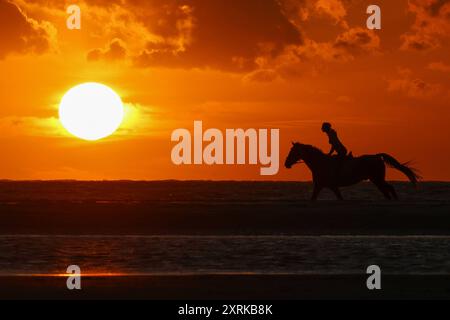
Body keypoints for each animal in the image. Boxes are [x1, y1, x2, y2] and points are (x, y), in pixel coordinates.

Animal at [284, 142, 422, 200]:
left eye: (292, 152)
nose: (286, 164)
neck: (320, 162)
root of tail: (377, 156)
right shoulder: (325, 186)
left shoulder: (326, 185)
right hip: (376, 180)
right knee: (387, 191)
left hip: (377, 179)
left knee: (389, 189)